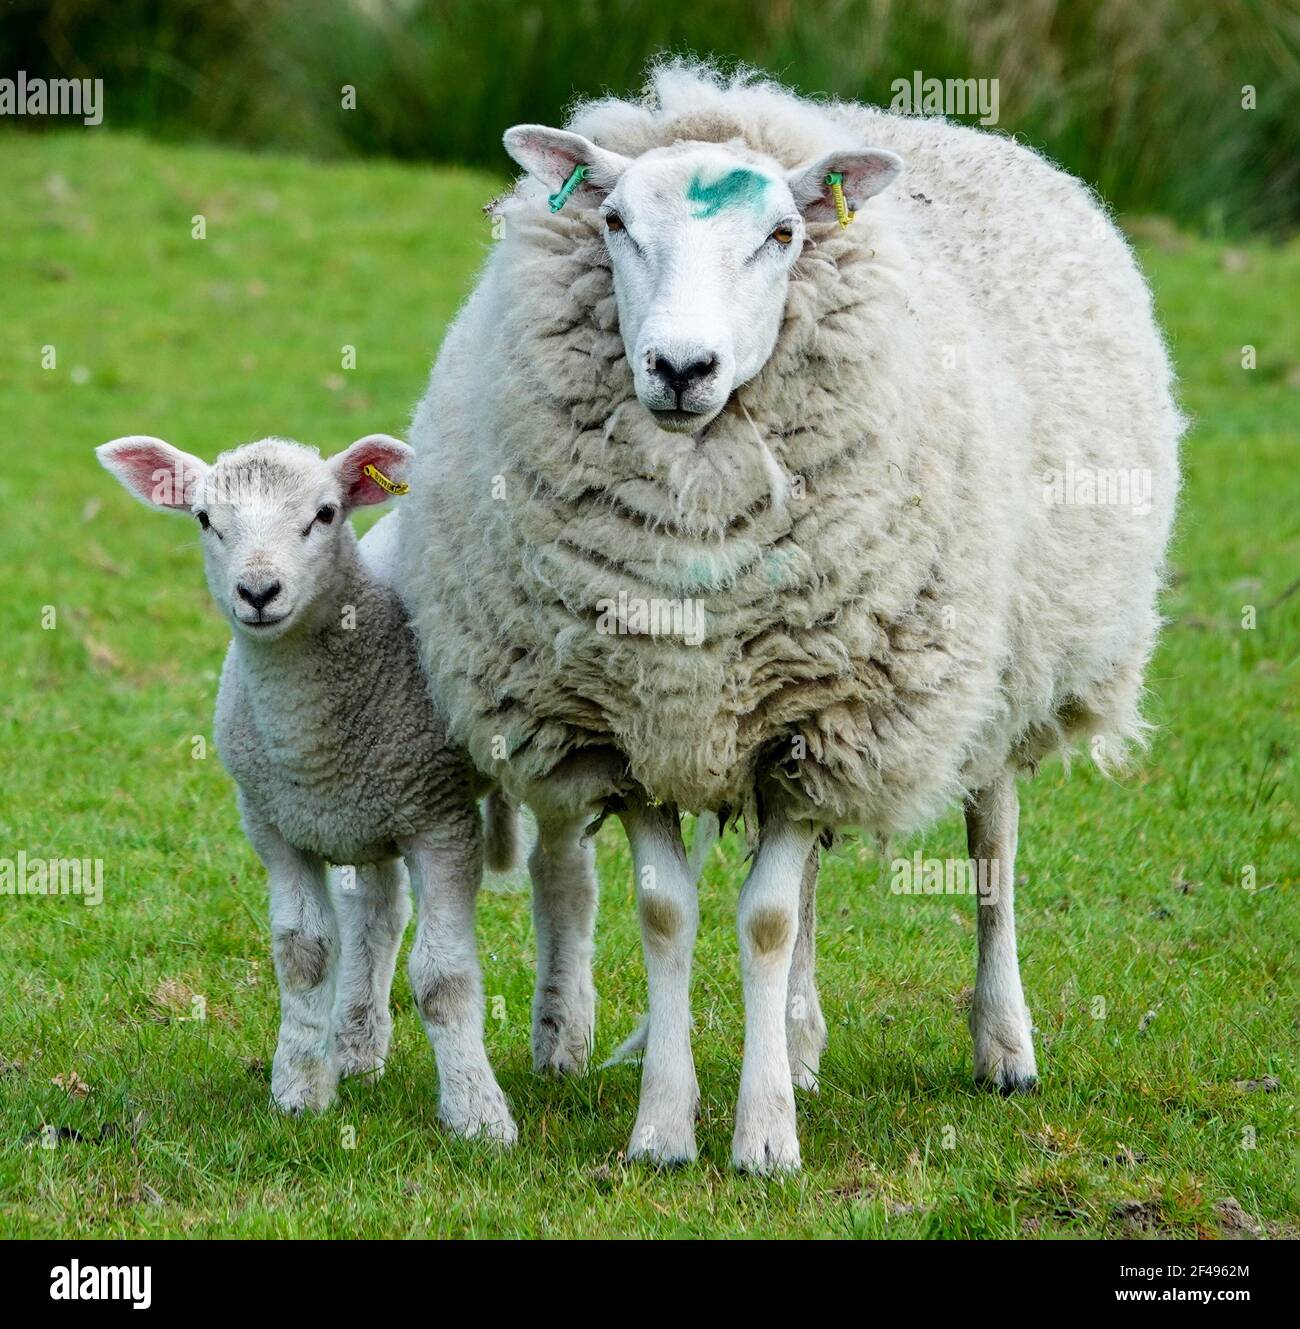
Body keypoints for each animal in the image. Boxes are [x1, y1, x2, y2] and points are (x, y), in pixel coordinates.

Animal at [96, 433, 521, 1141]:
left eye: (324, 514)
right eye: (205, 519)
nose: (257, 590)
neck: (312, 740)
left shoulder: (442, 820)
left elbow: (443, 978)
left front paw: (477, 1115)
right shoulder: (276, 828)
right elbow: (305, 955)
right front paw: (299, 1089)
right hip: (363, 816)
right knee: (377, 914)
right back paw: (356, 1048)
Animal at [399, 60, 1182, 1171]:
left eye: (780, 235)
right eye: (615, 221)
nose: (681, 369)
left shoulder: (834, 710)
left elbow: (765, 922)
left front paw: (764, 1136)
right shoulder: (633, 725)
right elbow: (669, 913)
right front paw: (664, 1125)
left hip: (986, 687)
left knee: (991, 851)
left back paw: (1004, 1044)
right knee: (806, 880)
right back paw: (803, 1040)